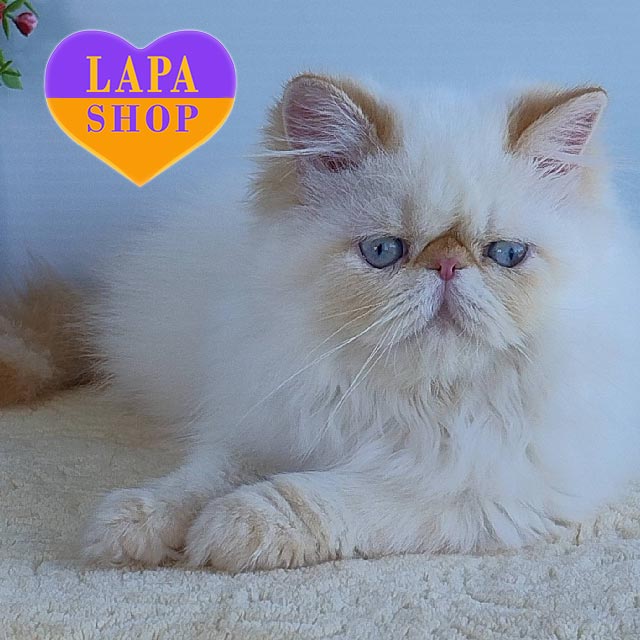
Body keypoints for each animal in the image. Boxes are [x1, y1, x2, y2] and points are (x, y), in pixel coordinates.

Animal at [81, 73, 640, 572]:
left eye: (505, 254)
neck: (412, 402)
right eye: (383, 251)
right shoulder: (266, 423)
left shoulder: (476, 489)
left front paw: (231, 528)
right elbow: (195, 482)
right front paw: (133, 522)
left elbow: (312, 496)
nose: (446, 265)